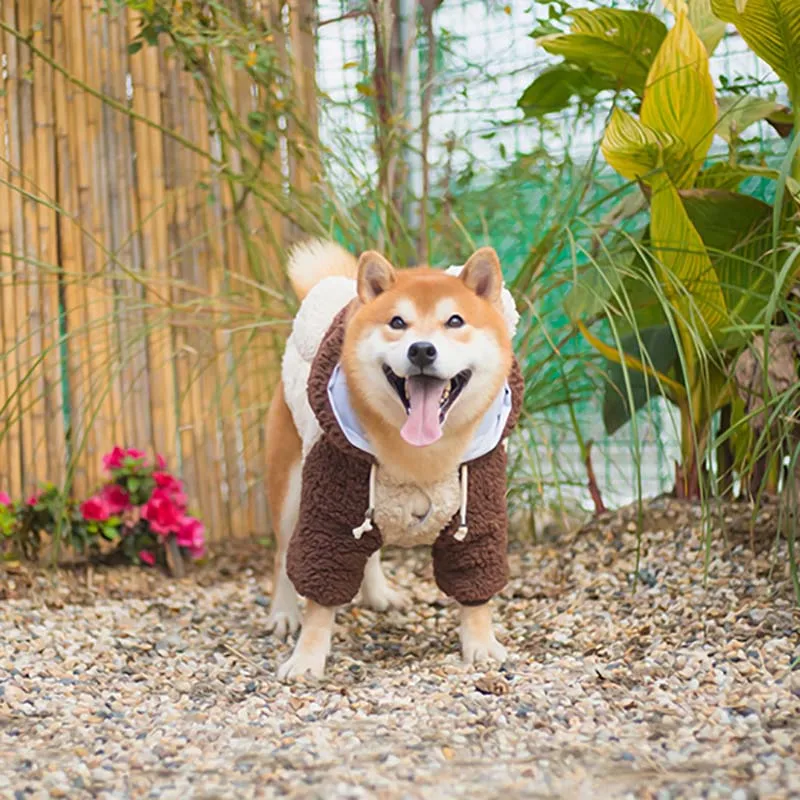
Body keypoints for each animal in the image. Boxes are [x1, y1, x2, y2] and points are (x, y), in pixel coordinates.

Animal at [264, 239, 524, 680]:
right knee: (284, 555)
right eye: (397, 322)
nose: (421, 349)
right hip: (292, 490)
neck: (419, 455)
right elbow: (319, 598)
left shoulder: (476, 512)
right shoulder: (330, 511)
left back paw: (379, 594)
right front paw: (307, 657)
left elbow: (475, 588)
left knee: (370, 547)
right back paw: (284, 614)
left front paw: (481, 644)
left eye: (455, 321)